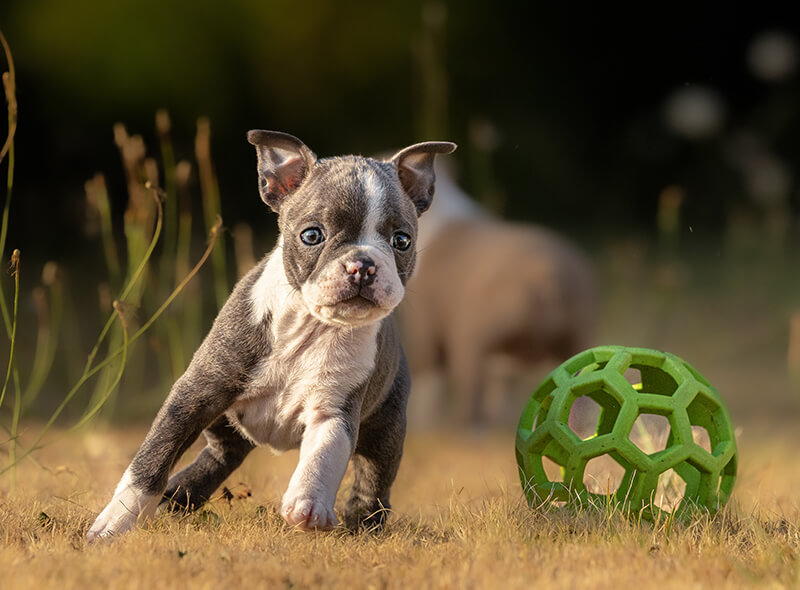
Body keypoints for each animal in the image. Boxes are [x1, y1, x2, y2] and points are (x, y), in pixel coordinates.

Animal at [86, 132, 456, 544]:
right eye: (312, 236)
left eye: (402, 240)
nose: (362, 265)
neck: (309, 326)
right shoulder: (196, 394)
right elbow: (153, 456)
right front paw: (115, 521)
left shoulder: (334, 410)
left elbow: (324, 454)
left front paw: (308, 504)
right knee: (218, 455)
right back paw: (176, 496)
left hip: (387, 429)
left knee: (372, 482)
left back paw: (363, 526)